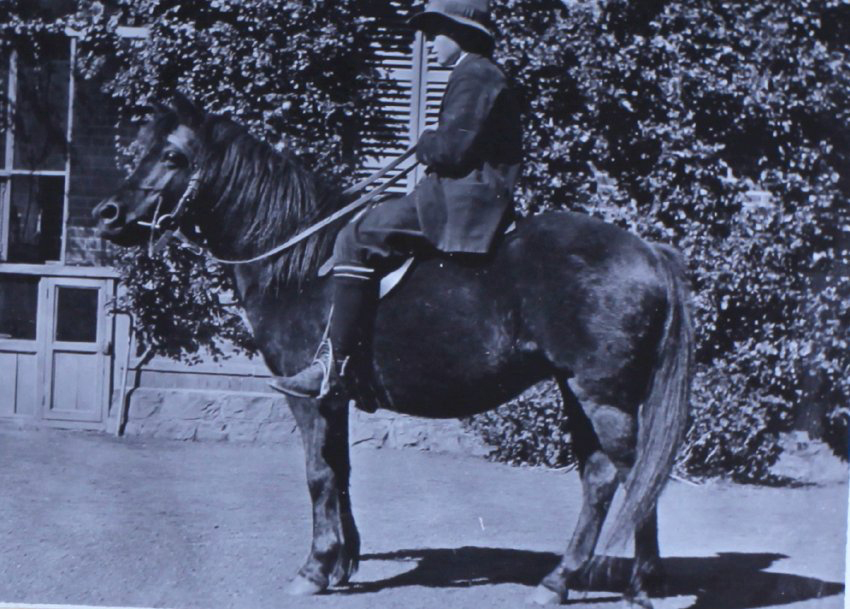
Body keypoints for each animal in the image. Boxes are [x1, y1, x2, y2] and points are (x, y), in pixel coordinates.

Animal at [93, 97, 693, 608]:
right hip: (578, 391)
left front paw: (314, 569)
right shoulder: (334, 396)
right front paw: (340, 563)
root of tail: (647, 251)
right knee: (603, 478)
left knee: (630, 476)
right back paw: (574, 580)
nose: (107, 214)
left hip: (601, 396)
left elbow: (317, 474)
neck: (299, 259)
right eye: (143, 146)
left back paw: (632, 582)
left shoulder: (307, 396)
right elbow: (339, 471)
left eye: (172, 156)